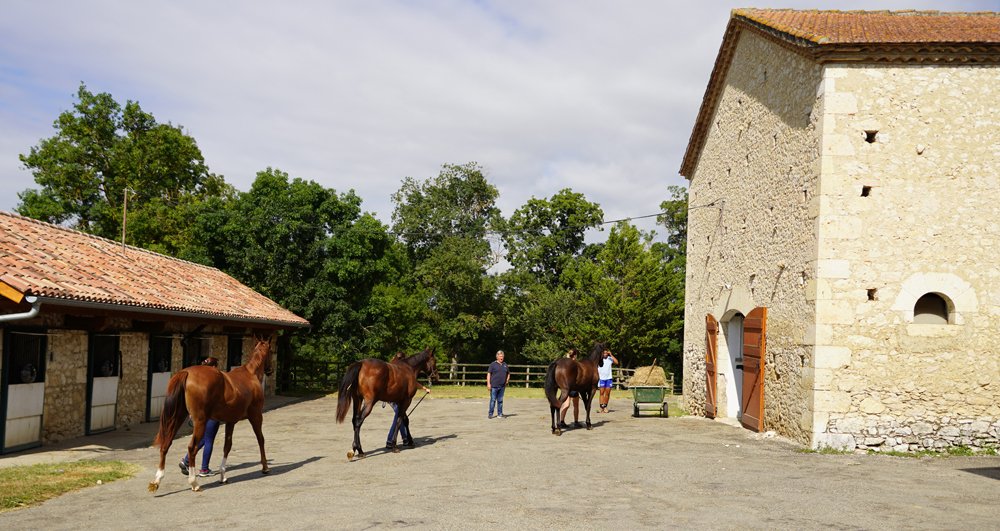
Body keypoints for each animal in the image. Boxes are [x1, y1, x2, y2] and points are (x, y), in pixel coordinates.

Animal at [148, 336, 273, 493]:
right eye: (272, 351)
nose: (270, 370)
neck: (250, 375)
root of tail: (187, 373)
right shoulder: (256, 416)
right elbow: (260, 439)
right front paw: (265, 467)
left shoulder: (230, 421)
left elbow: (227, 445)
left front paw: (223, 476)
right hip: (200, 422)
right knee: (192, 448)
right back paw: (194, 482)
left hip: (177, 418)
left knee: (166, 444)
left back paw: (157, 480)